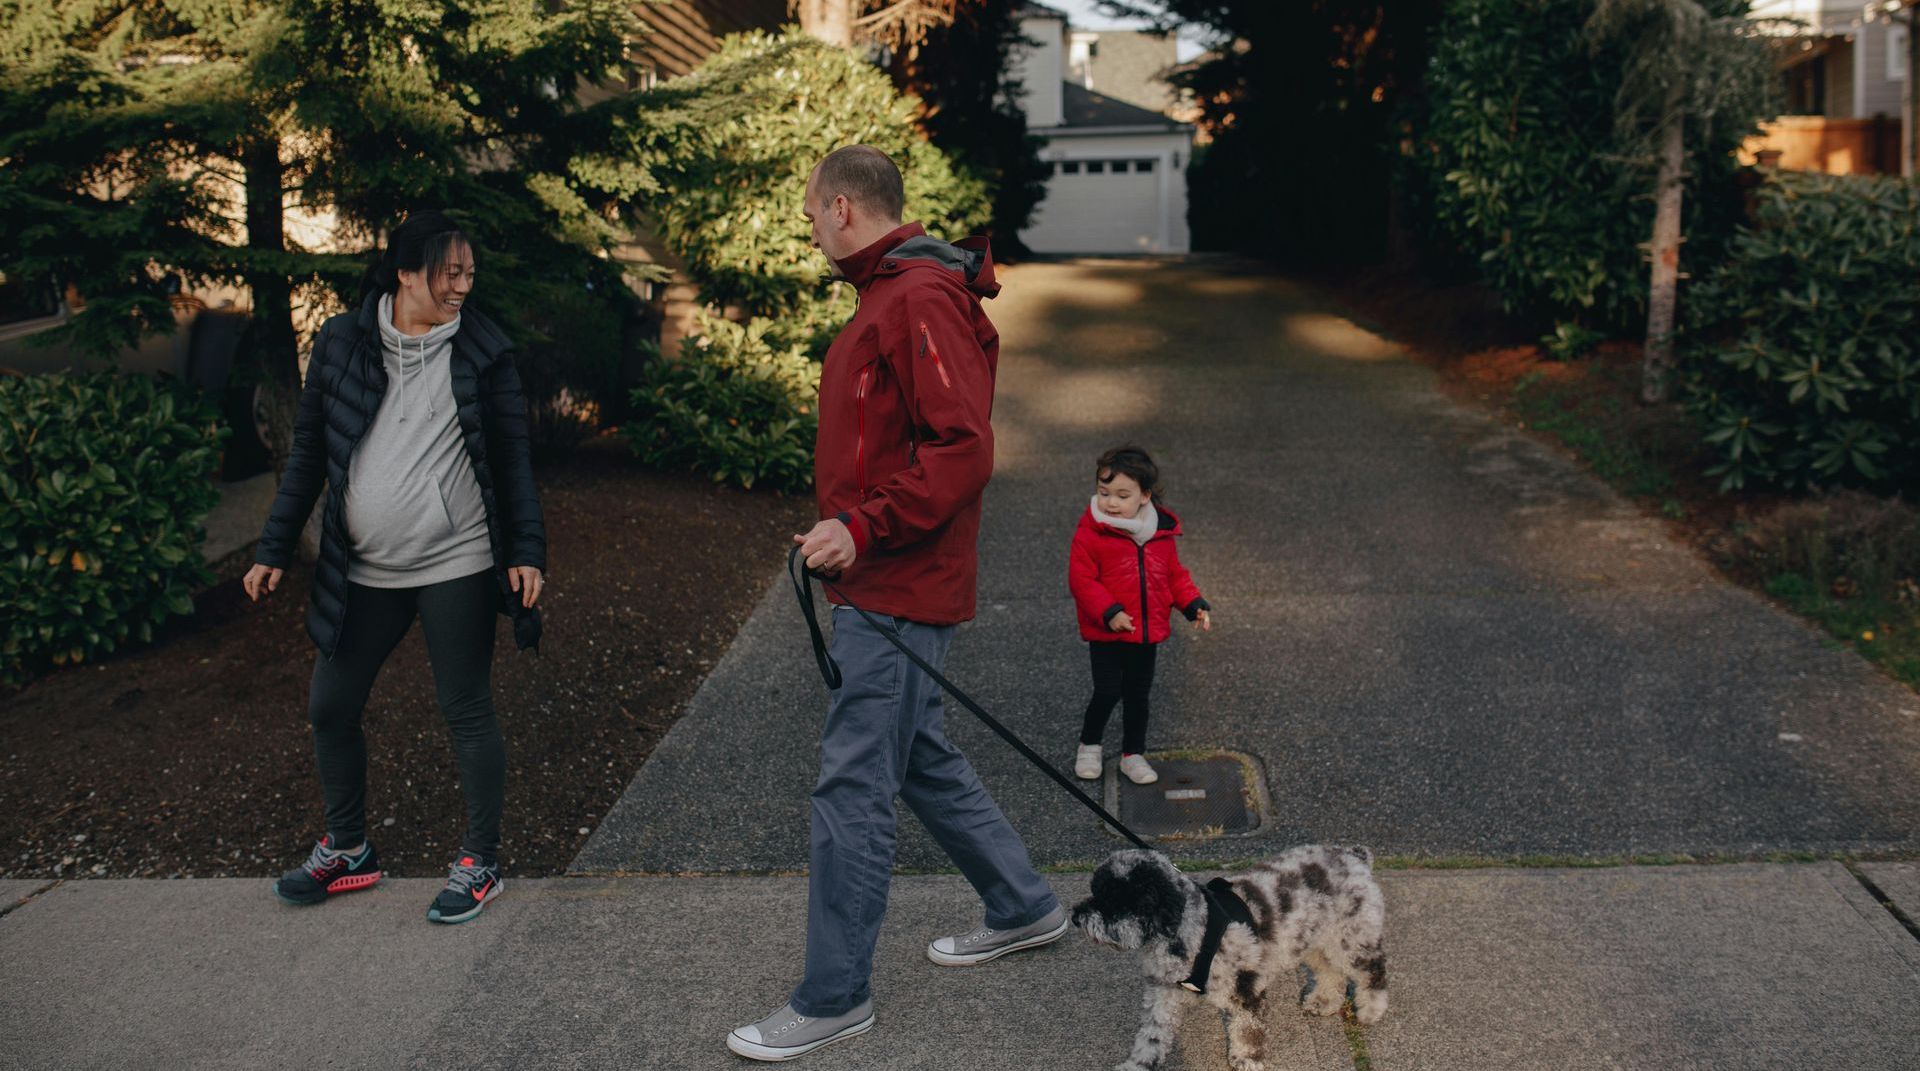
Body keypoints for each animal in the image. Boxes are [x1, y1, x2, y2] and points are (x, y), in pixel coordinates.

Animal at [1075, 848, 1390, 1071]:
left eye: (1112, 900)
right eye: (1095, 890)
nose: (1076, 916)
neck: (1192, 928)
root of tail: (1354, 856)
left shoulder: (1245, 989)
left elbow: (1248, 1031)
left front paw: (1247, 1059)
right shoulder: (1163, 993)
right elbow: (1152, 1036)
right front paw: (1138, 1064)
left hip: (1352, 938)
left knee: (1374, 971)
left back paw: (1371, 1009)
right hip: (1317, 942)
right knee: (1331, 973)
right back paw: (1324, 1001)